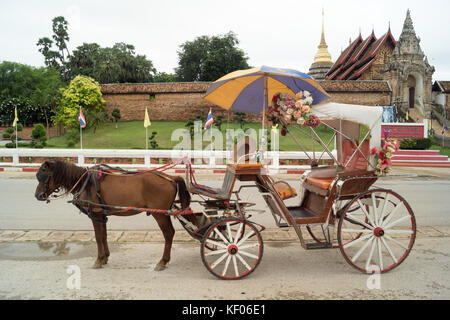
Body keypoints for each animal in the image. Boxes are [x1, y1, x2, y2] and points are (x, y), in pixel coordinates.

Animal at [34, 160, 193, 270]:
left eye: (44, 176)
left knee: (169, 234)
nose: (38, 195)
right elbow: (104, 236)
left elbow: (98, 237)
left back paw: (163, 261)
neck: (85, 183)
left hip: (160, 214)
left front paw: (99, 259)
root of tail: (170, 177)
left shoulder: (94, 214)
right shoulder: (101, 215)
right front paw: (105, 258)